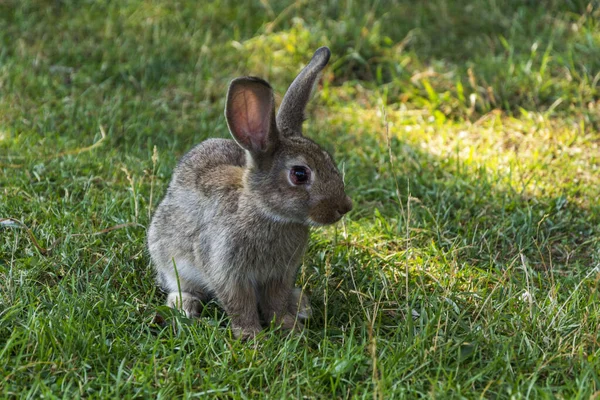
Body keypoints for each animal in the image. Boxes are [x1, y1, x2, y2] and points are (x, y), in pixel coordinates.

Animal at [146, 47, 352, 340]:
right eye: (300, 174)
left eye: (329, 159)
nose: (344, 206)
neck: (266, 213)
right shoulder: (227, 271)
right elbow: (239, 304)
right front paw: (252, 337)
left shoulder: (279, 275)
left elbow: (275, 302)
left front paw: (289, 327)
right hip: (167, 257)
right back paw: (185, 306)